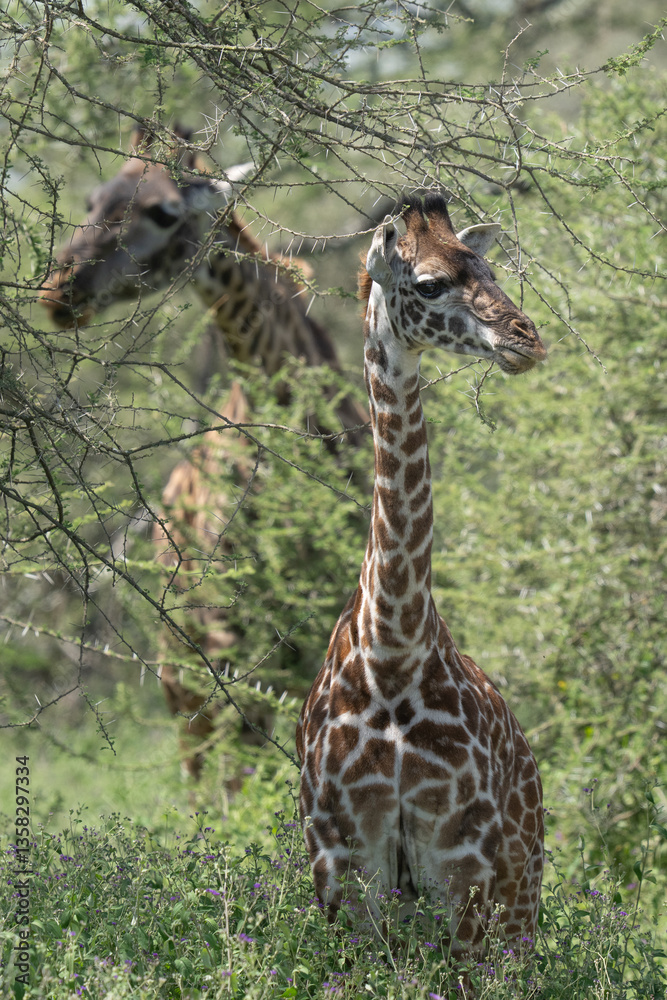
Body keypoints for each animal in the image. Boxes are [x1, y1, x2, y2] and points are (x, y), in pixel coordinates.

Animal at [296, 193, 546, 961]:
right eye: (430, 284)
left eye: (489, 270)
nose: (529, 339)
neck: (392, 655)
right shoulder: (341, 857)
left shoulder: (462, 860)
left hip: (519, 896)